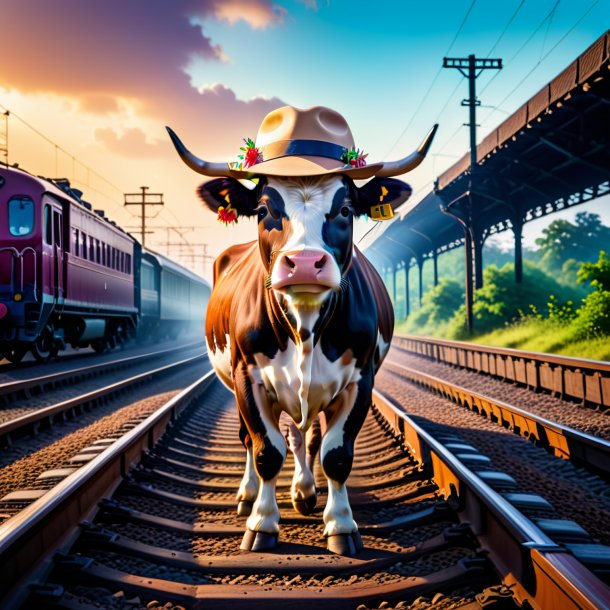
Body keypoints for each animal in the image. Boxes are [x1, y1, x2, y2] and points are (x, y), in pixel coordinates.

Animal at [166, 105, 432, 556]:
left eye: (345, 211)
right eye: (264, 211)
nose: (305, 263)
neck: (305, 327)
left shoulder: (361, 379)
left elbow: (335, 453)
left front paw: (341, 524)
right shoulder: (247, 376)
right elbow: (266, 450)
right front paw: (262, 523)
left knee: (306, 435)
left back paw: (305, 492)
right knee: (252, 438)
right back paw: (249, 494)